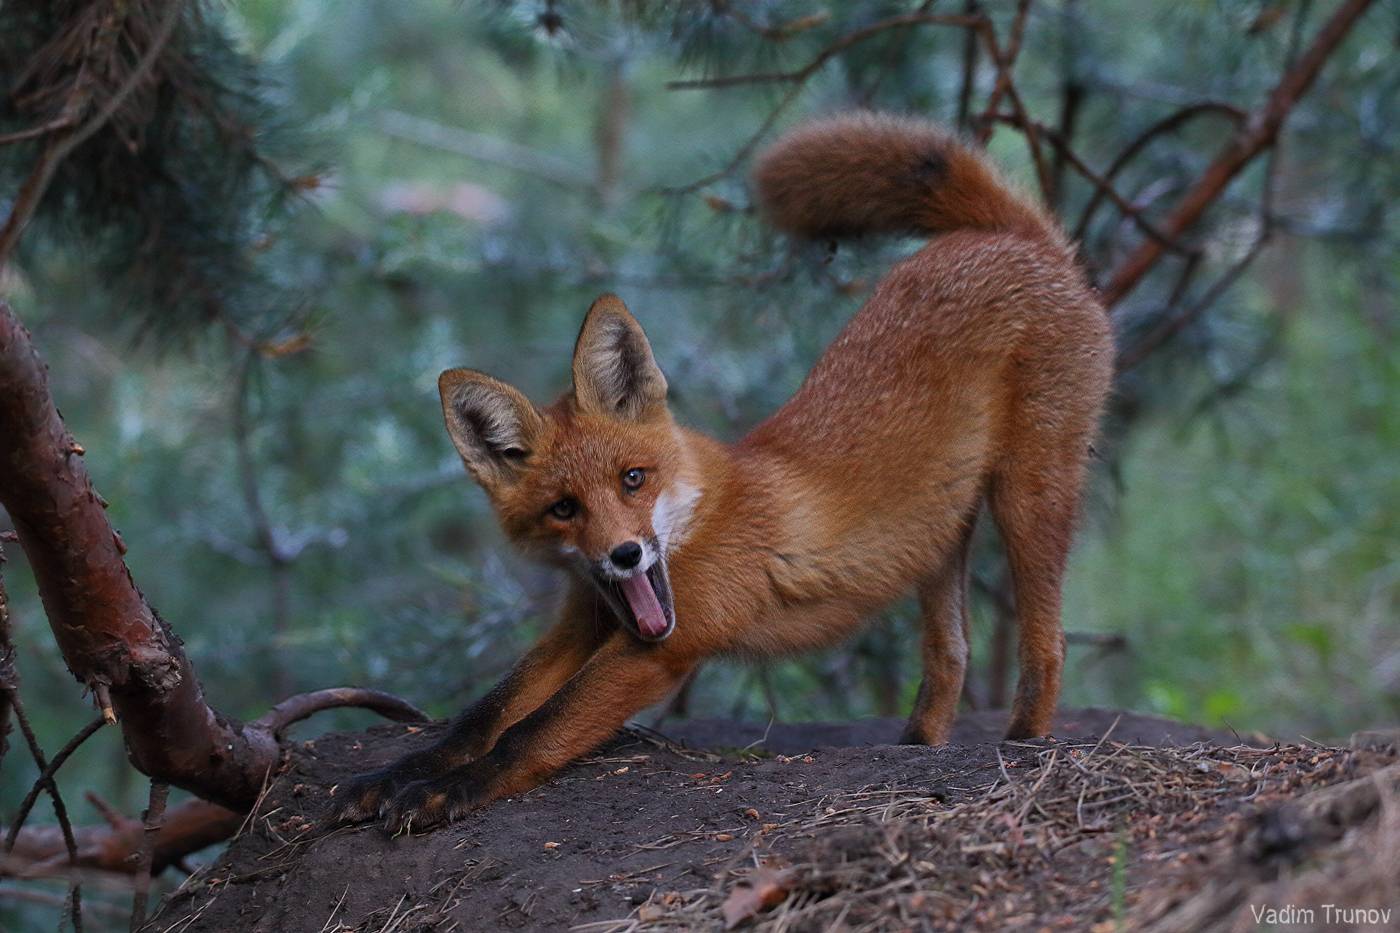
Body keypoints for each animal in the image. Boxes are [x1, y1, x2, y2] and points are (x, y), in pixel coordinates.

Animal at [333, 112, 1114, 832]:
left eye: (633, 479)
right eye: (563, 508)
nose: (625, 554)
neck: (699, 516)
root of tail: (1009, 235)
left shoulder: (665, 646)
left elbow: (531, 730)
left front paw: (447, 790)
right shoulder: (587, 620)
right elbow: (482, 712)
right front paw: (394, 775)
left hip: (1028, 495)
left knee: (1047, 644)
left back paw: (1025, 741)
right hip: (939, 532)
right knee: (951, 654)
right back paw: (918, 745)